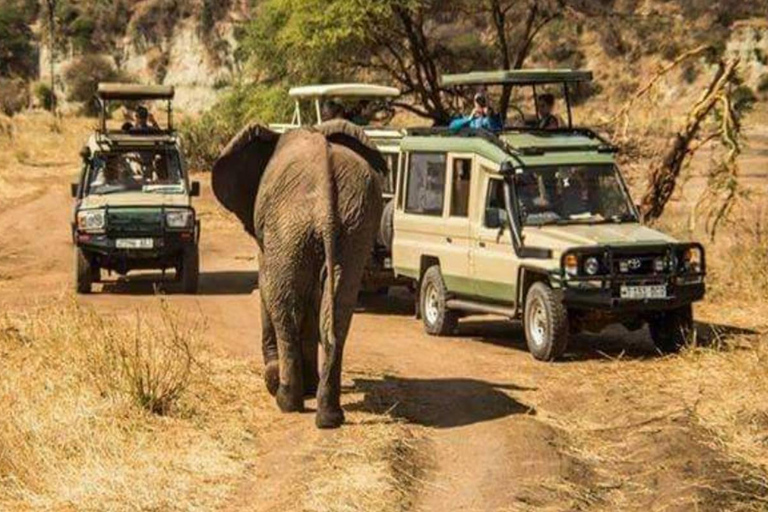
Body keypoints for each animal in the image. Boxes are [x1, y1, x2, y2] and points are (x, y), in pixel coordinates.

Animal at [213, 120, 388, 428]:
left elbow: (268, 285)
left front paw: (274, 379)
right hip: (354, 224)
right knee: (338, 311)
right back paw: (329, 417)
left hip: (289, 223)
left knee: (285, 306)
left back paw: (286, 401)